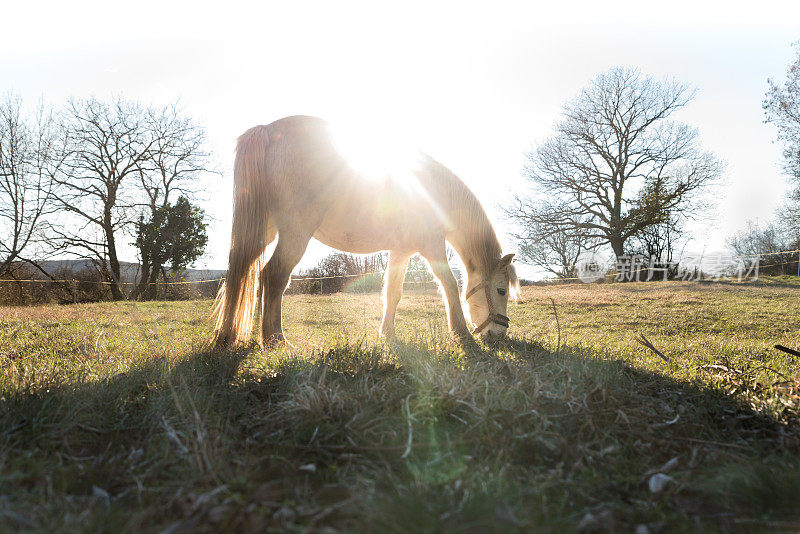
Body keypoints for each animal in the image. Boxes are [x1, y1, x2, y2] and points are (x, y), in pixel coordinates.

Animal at [212, 116, 520, 348]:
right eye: (501, 290)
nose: (499, 335)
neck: (436, 194)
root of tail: (268, 129)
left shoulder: (401, 251)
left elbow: (392, 292)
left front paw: (387, 334)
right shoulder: (432, 245)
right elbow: (449, 285)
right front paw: (461, 333)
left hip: (264, 232)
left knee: (241, 271)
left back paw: (227, 336)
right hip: (295, 233)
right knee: (274, 276)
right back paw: (274, 338)